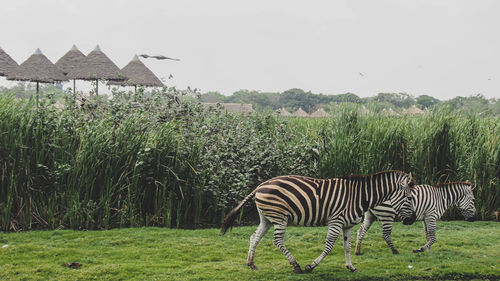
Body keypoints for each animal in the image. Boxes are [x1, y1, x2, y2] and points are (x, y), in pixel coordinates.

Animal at [221, 170, 416, 272]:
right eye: (409, 198)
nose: (412, 220)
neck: (359, 196)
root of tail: (261, 185)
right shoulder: (336, 221)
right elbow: (329, 246)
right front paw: (311, 266)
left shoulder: (348, 225)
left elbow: (347, 246)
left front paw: (350, 266)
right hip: (279, 217)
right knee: (277, 240)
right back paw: (296, 265)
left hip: (267, 218)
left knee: (254, 237)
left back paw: (251, 263)